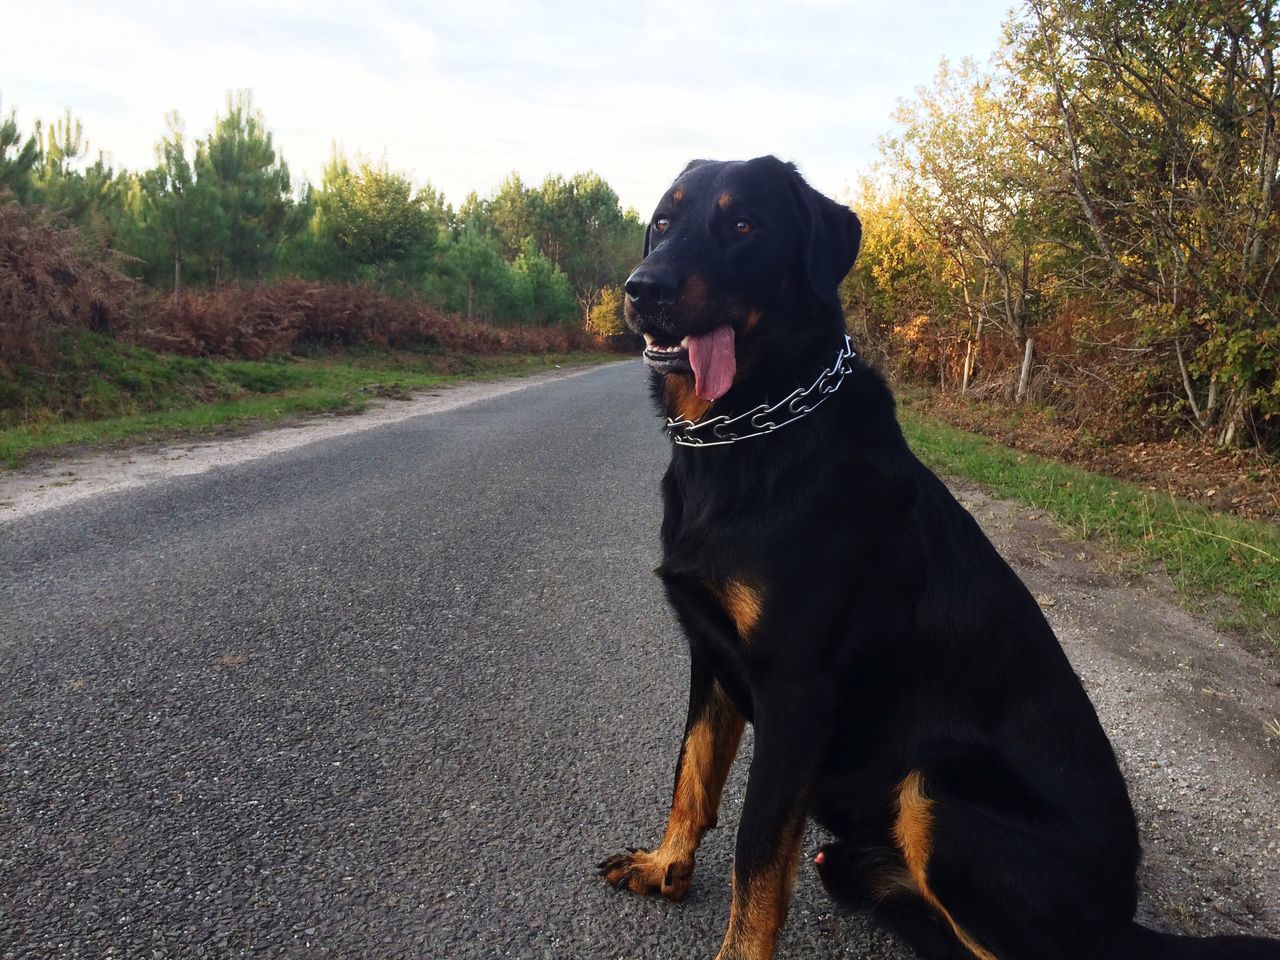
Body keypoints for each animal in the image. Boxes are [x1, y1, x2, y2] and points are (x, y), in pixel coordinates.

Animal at [599, 154, 1280, 957]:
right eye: (664, 221)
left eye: (742, 224)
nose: (643, 289)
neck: (747, 436)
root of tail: (1124, 921)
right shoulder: (712, 655)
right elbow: (693, 775)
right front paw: (666, 863)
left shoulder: (797, 692)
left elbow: (756, 856)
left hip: (936, 796)